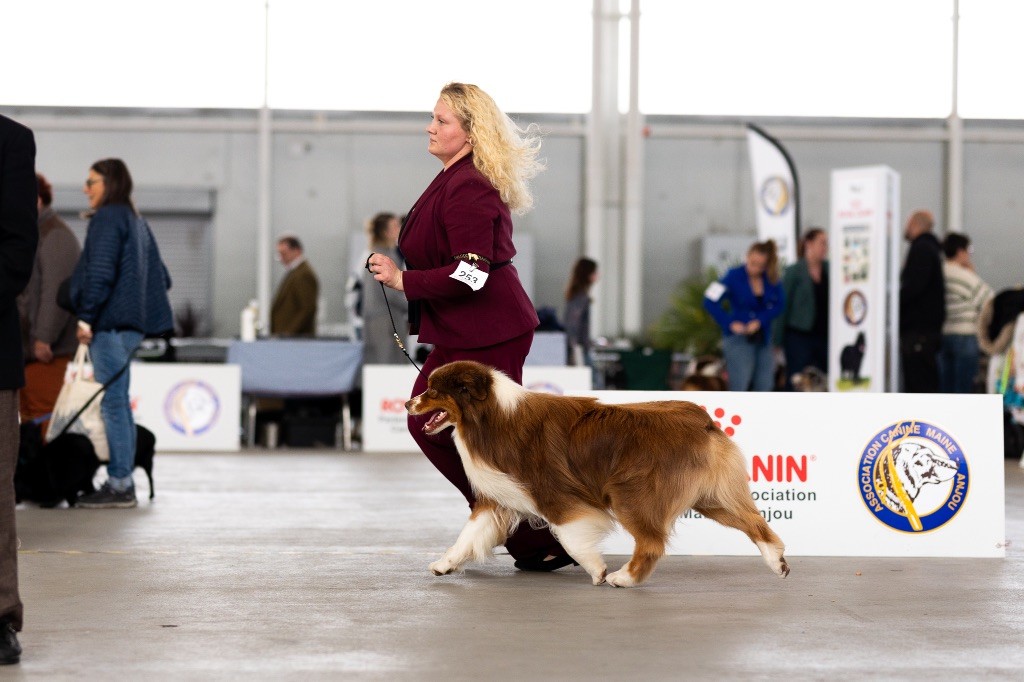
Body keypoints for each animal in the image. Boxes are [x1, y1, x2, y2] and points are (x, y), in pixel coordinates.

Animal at [407, 358, 790, 585]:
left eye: (433, 391)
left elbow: (571, 537)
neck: (491, 416)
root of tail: (702, 418)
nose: (409, 403)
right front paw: (444, 564)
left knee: (652, 543)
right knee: (755, 522)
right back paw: (778, 563)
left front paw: (597, 569)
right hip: (710, 496)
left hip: (631, 494)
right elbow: (469, 535)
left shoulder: (554, 494)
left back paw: (624, 578)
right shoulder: (499, 497)